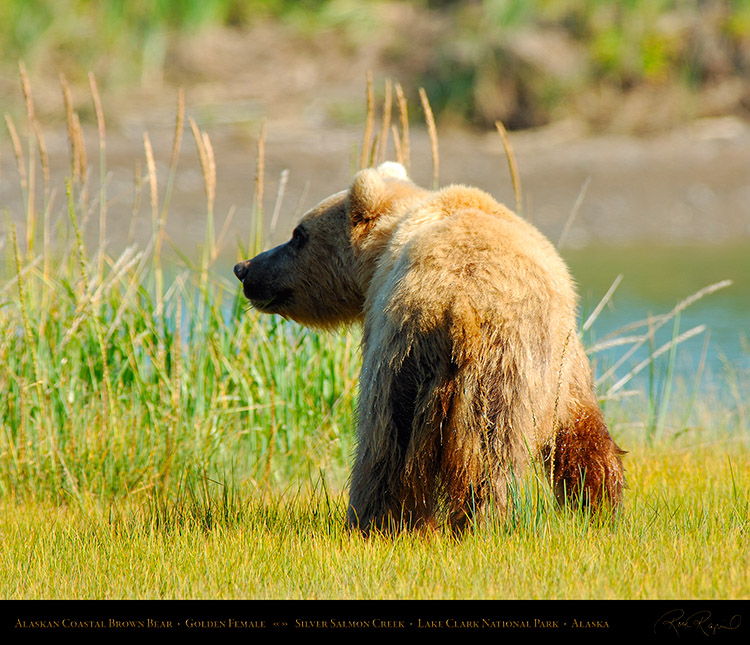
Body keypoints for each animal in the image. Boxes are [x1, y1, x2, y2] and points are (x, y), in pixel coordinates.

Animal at [235, 162, 628, 532]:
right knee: (476, 453)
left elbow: (581, 426)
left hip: (421, 355)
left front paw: (596, 506)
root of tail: (461, 304)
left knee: (387, 444)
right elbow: (582, 430)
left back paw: (382, 522)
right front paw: (597, 505)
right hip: (481, 367)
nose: (244, 267)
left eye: (298, 235)